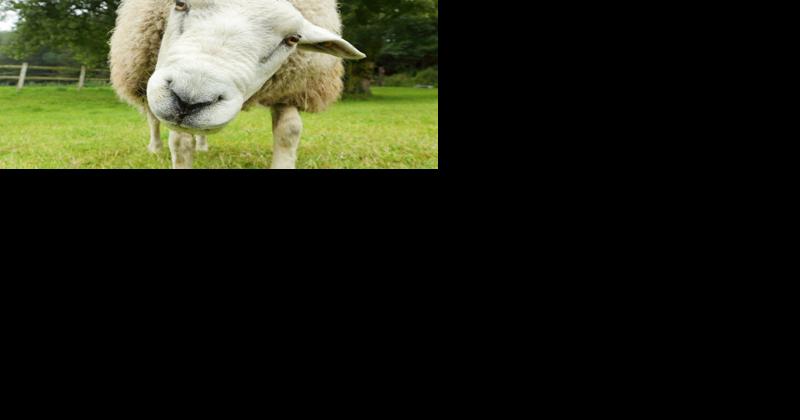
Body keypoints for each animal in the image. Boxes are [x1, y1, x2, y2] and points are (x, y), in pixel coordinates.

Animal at [109, 0, 365, 169]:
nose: (189, 99)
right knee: (153, 119)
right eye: (180, 3)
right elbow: (180, 143)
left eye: (292, 39)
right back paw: (155, 148)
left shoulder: (290, 89)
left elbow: (289, 131)